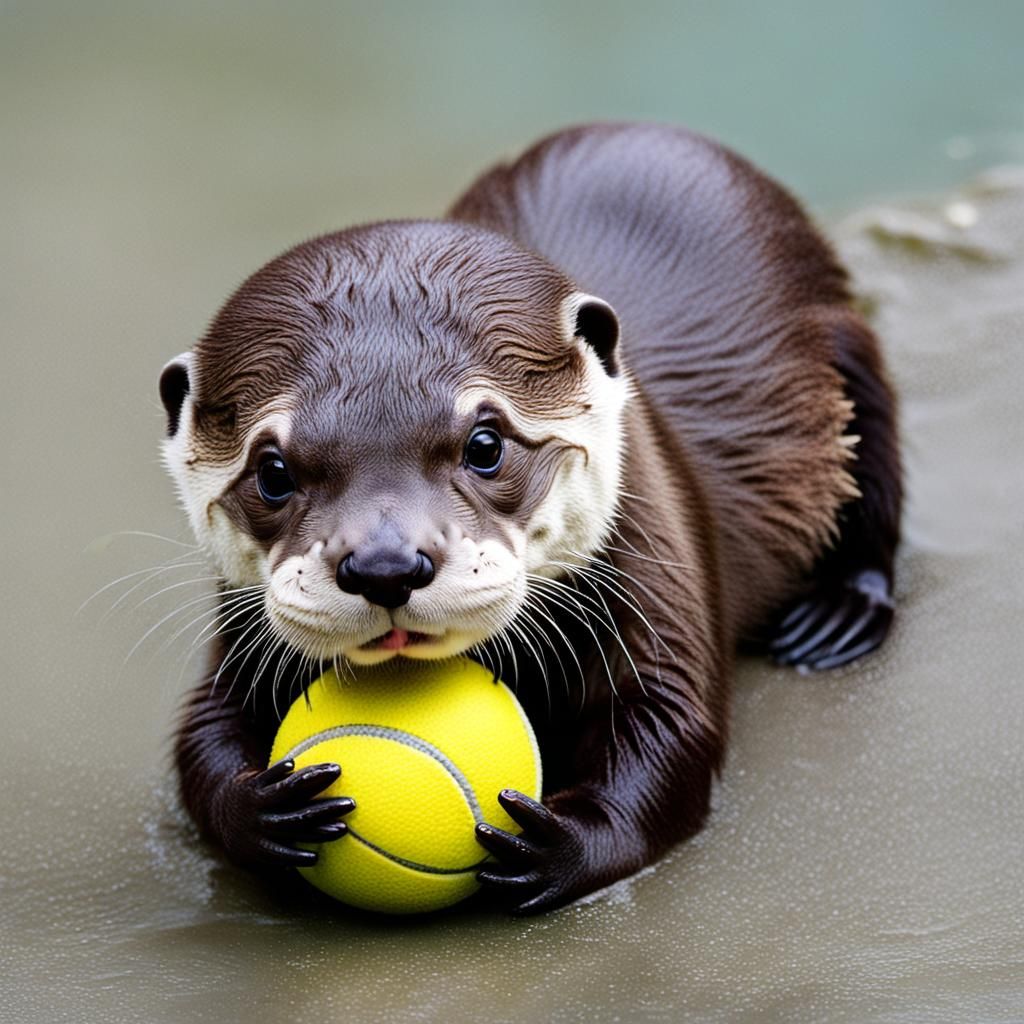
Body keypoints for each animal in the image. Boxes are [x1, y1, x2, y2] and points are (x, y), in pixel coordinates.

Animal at [159, 123, 901, 914]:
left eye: (485, 444)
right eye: (273, 472)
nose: (386, 566)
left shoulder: (657, 548)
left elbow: (670, 725)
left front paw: (555, 843)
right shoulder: (238, 627)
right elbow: (200, 732)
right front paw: (262, 807)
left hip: (849, 351)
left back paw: (841, 612)